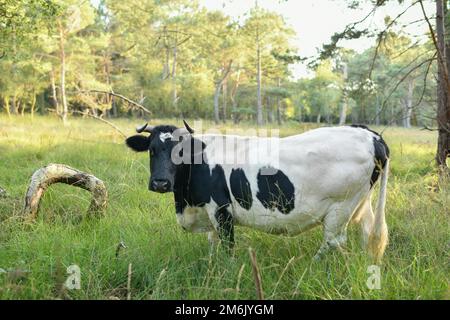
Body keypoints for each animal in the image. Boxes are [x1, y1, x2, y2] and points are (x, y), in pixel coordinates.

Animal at [125, 121, 390, 262]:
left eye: (180, 152)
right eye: (151, 149)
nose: (160, 183)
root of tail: (369, 134)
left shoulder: (221, 210)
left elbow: (227, 245)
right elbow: (212, 243)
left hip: (341, 206)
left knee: (333, 240)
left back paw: (313, 264)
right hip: (361, 203)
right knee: (368, 232)